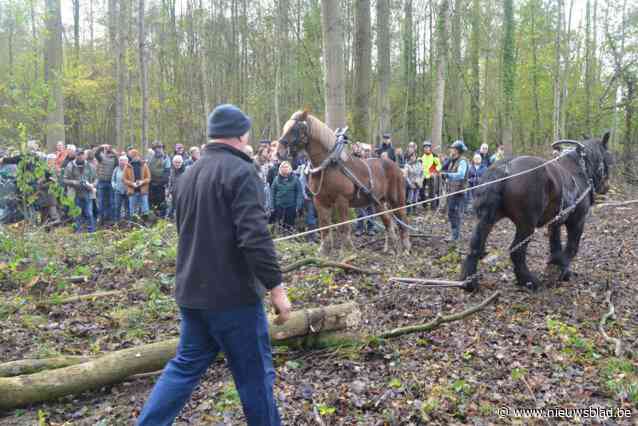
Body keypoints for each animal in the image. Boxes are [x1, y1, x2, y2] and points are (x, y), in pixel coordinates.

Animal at [278, 110, 410, 256]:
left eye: (296, 129)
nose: (279, 152)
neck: (328, 165)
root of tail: (397, 166)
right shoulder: (319, 201)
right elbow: (324, 225)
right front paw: (324, 250)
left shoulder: (342, 200)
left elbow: (344, 225)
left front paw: (347, 250)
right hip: (378, 202)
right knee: (388, 222)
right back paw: (392, 248)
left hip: (396, 200)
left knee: (403, 220)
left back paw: (405, 248)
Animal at [460, 133, 616, 292]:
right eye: (608, 158)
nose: (606, 186)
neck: (580, 171)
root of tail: (505, 167)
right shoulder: (578, 221)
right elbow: (572, 248)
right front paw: (560, 269)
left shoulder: (555, 223)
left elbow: (555, 246)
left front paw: (558, 266)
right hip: (526, 225)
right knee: (517, 252)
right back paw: (528, 281)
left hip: (487, 219)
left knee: (475, 247)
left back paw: (469, 282)